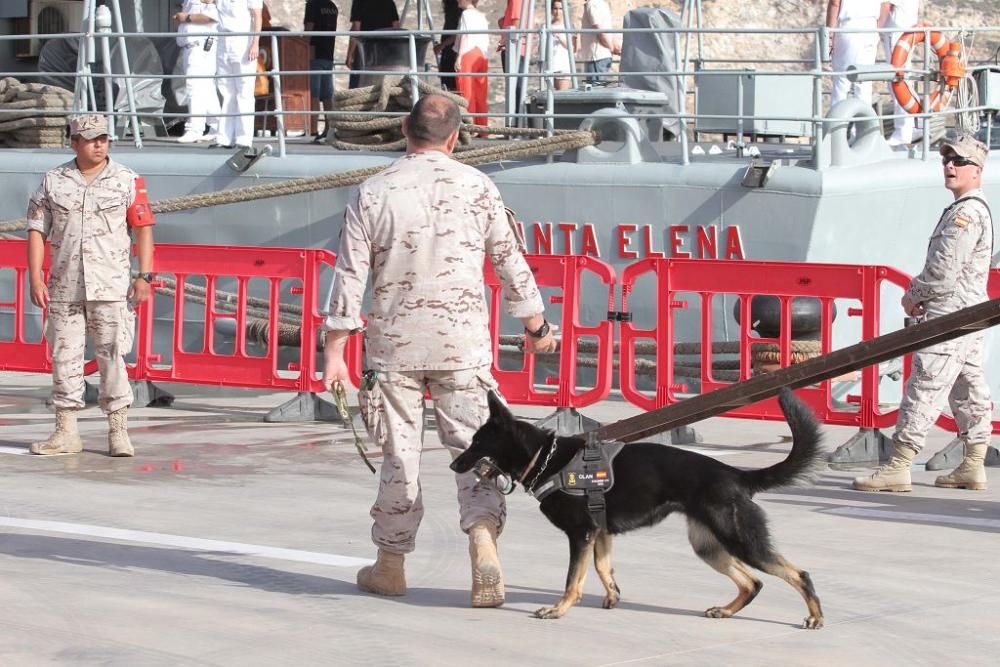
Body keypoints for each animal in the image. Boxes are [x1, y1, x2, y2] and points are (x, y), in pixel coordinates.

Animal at [450, 388, 824, 628]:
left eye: (477, 442)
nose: (454, 464)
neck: (547, 457)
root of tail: (735, 474)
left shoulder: (581, 535)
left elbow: (573, 579)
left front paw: (558, 610)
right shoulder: (599, 534)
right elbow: (602, 568)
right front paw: (612, 597)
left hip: (740, 540)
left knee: (798, 574)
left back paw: (816, 616)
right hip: (709, 546)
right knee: (752, 583)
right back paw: (726, 611)